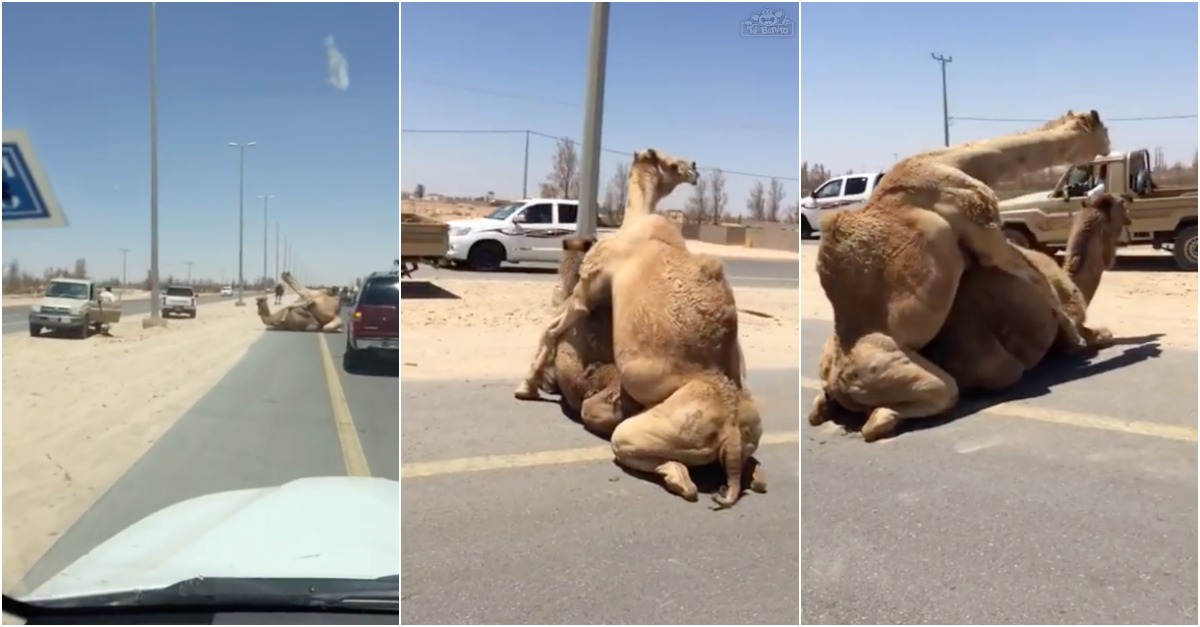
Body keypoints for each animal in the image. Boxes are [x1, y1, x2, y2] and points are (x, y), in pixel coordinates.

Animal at [511, 148, 763, 504]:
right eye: (672, 163)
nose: (694, 168)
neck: (635, 222)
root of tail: (730, 432)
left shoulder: (589, 287)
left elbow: (552, 328)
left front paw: (526, 386)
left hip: (661, 427)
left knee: (656, 461)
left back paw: (678, 479)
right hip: (751, 426)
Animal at [811, 109, 1108, 439]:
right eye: (1104, 129)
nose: (1108, 147)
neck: (954, 162)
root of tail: (838, 382)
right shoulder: (983, 231)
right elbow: (1037, 279)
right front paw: (1078, 338)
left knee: (821, 406)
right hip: (885, 366)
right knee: (918, 402)